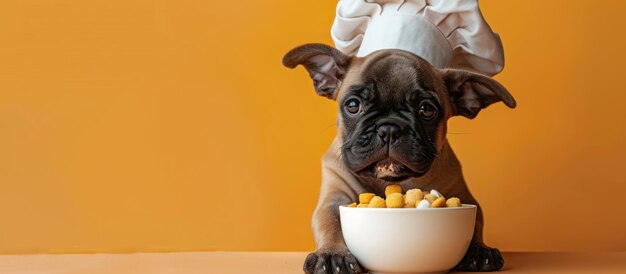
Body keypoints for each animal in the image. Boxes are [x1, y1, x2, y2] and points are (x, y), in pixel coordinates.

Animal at [280, 44, 516, 272]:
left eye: (426, 109)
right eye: (353, 105)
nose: (389, 128)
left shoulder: (462, 195)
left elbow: (475, 223)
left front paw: (479, 250)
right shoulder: (334, 198)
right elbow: (329, 221)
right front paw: (332, 253)